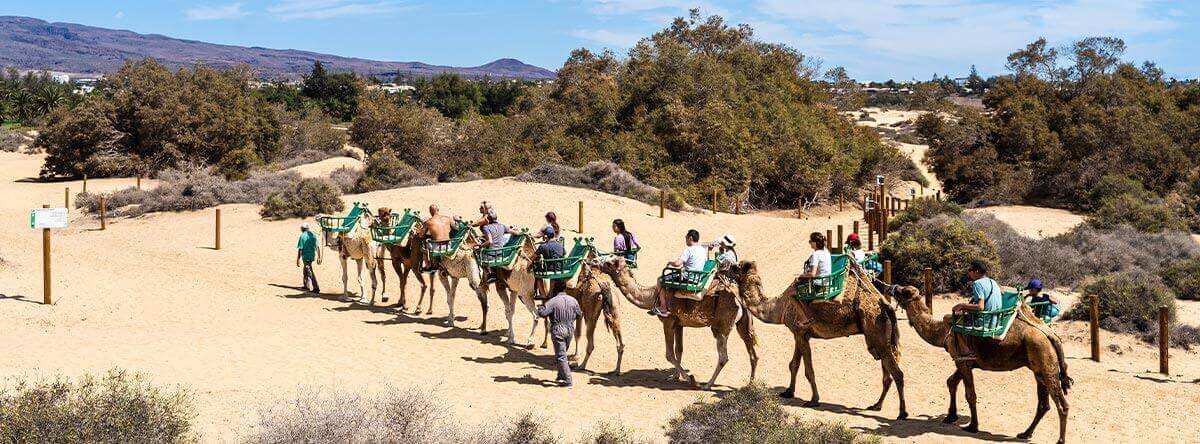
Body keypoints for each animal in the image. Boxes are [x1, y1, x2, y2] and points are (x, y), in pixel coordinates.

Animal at [592, 253, 753, 388]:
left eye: (609, 262)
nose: (594, 261)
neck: (652, 296)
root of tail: (738, 296)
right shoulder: (679, 324)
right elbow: (679, 350)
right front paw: (675, 376)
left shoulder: (668, 321)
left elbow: (669, 354)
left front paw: (690, 379)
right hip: (740, 323)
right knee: (751, 349)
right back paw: (750, 383)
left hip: (722, 326)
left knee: (723, 356)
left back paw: (707, 385)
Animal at [729, 260, 907, 420]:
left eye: (736, 267)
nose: (726, 267)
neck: (780, 306)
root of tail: (887, 306)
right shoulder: (799, 334)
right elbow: (793, 365)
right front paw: (788, 392)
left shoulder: (801, 333)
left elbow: (809, 371)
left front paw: (813, 400)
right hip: (879, 339)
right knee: (888, 374)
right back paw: (877, 405)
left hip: (876, 332)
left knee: (897, 373)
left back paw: (902, 413)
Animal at [888, 284, 1075, 444]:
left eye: (905, 292)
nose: (893, 288)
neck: (943, 332)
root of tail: (1051, 336)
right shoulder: (963, 361)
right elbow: (951, 382)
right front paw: (950, 417)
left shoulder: (963, 360)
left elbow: (970, 395)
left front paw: (972, 426)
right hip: (1039, 368)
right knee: (1044, 404)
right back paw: (1025, 433)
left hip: (1044, 360)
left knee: (1062, 404)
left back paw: (1060, 440)